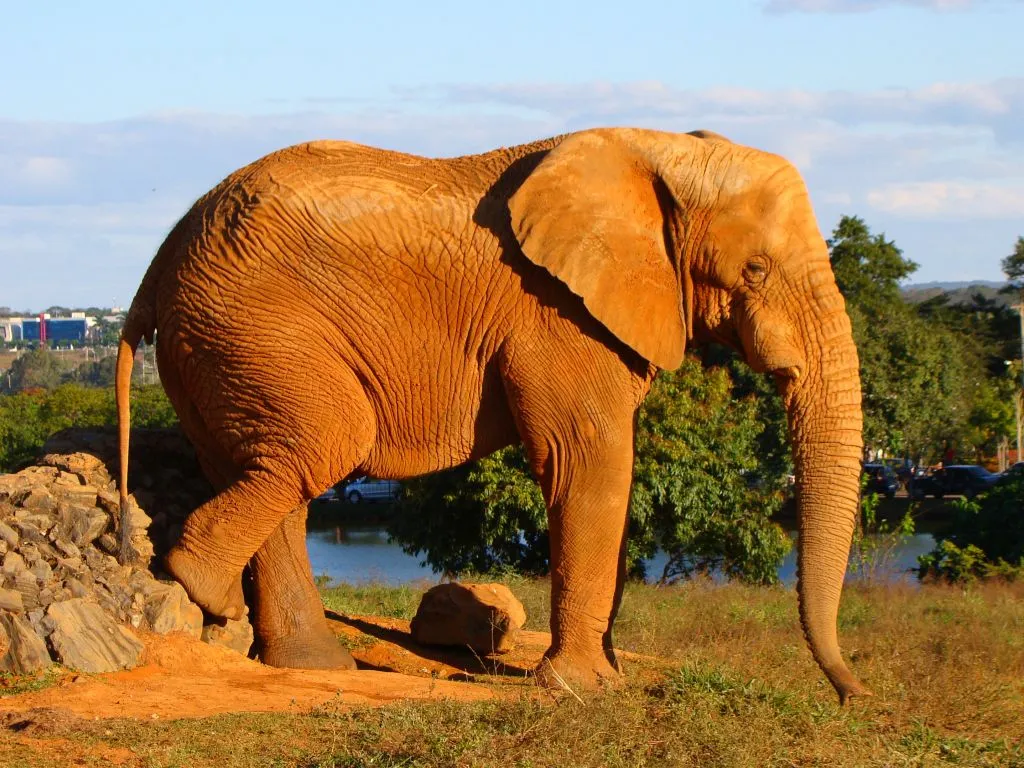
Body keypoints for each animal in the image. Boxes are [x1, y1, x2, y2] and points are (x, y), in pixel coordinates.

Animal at [115, 126, 870, 704]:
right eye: (755, 271)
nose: (851, 694)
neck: (658, 150)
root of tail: (155, 266)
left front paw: (605, 678)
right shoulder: (557, 313)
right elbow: (588, 461)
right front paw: (581, 691)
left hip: (221, 345)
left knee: (269, 467)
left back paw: (305, 658)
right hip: (254, 329)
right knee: (325, 444)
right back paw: (203, 588)